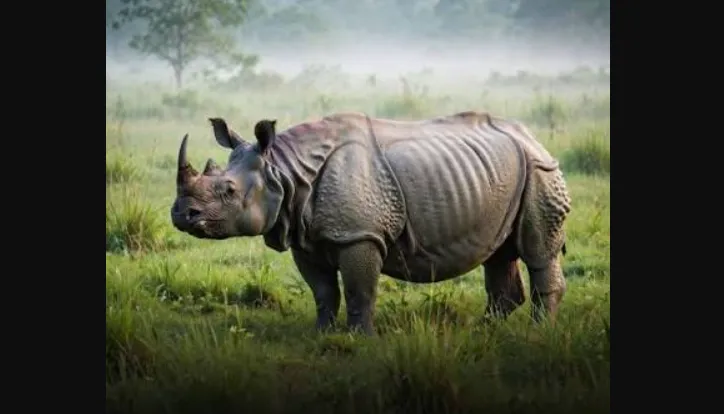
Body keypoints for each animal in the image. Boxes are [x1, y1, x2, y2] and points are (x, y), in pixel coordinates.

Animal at [170, 111, 572, 335]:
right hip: (502, 174)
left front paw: (359, 338)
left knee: (538, 251)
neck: (284, 171)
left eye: (228, 190)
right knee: (499, 252)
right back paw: (483, 330)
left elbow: (359, 289)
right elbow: (323, 291)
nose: (180, 214)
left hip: (540, 170)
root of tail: (532, 136)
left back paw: (539, 333)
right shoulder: (305, 237)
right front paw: (322, 333)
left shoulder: (358, 235)